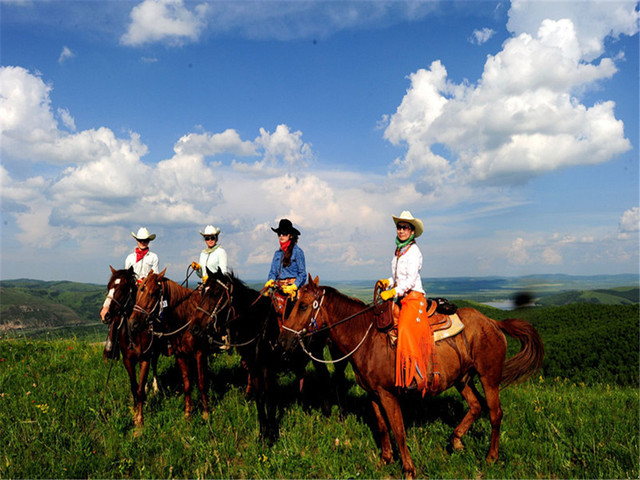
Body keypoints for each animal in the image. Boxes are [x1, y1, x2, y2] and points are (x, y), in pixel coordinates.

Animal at [127, 268, 212, 426]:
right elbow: (187, 384)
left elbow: (202, 382)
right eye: (139, 291)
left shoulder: (200, 353)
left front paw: (206, 413)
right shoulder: (180, 355)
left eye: (152, 293)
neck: (186, 317)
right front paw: (188, 414)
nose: (132, 323)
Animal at [196, 266, 348, 442]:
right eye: (202, 292)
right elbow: (259, 398)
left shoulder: (267, 369)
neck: (257, 324)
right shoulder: (254, 368)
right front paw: (263, 433)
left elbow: (268, 397)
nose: (195, 328)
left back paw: (331, 413)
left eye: (215, 293)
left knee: (328, 377)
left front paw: (271, 436)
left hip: (322, 354)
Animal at [280, 276, 544, 478]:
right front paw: (385, 460)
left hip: (489, 377)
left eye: (303, 306)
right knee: (476, 405)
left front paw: (408, 469)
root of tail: (492, 322)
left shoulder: (388, 394)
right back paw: (456, 440)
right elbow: (382, 427)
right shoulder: (373, 394)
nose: (283, 340)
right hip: (462, 379)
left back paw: (491, 457)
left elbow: (398, 429)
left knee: (495, 414)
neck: (366, 338)